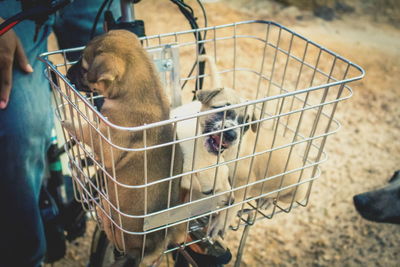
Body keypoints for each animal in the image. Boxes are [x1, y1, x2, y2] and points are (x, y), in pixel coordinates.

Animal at [65, 29, 184, 266]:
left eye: (84, 69)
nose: (66, 72)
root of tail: (150, 249)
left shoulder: (105, 143)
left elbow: (88, 130)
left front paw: (71, 123)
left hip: (114, 222)